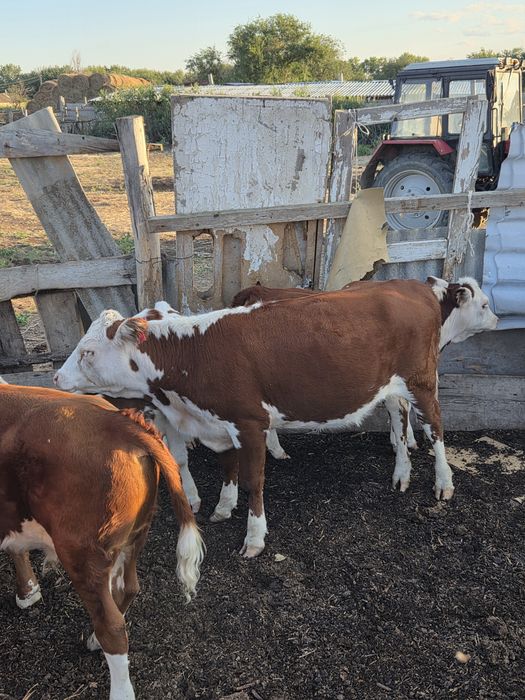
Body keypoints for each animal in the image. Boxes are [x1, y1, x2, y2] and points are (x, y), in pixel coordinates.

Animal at [0, 384, 204, 700]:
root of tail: (119, 422)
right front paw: (28, 593)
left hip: (81, 551)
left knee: (113, 625)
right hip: (135, 535)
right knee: (128, 587)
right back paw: (95, 637)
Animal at [53, 278, 498, 559]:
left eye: (88, 352)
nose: (56, 377)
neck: (195, 354)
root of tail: (410, 287)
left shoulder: (250, 423)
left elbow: (254, 481)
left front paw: (254, 537)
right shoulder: (221, 422)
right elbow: (228, 468)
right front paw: (222, 507)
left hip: (422, 381)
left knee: (436, 428)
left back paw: (443, 483)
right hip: (393, 387)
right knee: (401, 421)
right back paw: (401, 474)